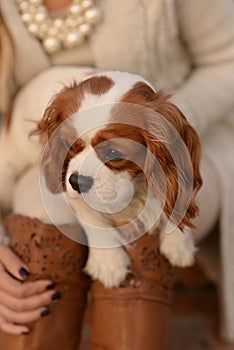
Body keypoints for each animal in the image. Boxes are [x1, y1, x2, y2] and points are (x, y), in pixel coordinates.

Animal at [0, 67, 201, 288]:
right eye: (68, 146)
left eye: (114, 153)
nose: (77, 181)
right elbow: (91, 217)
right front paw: (109, 263)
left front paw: (179, 242)